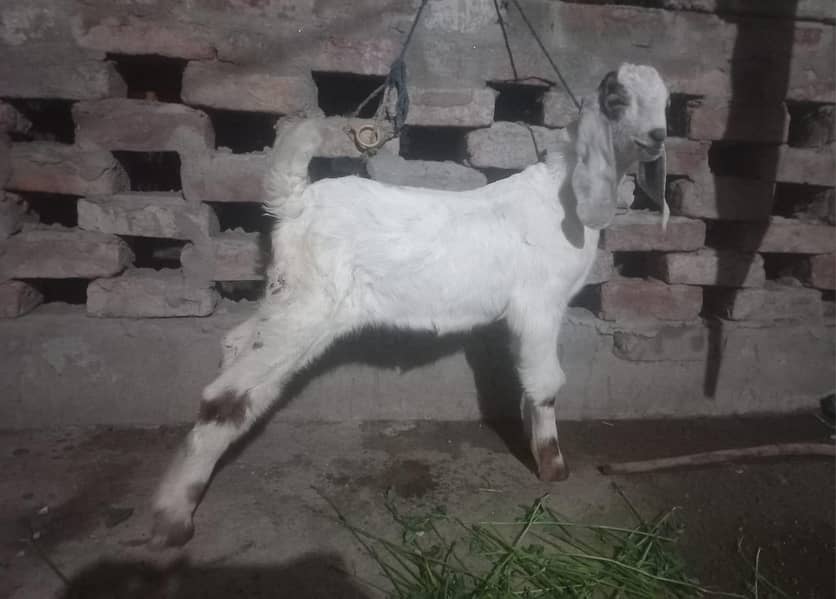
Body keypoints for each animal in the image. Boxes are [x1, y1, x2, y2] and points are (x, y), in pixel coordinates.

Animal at [151, 64, 670, 547]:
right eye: (617, 100)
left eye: (668, 104)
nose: (657, 137)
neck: (562, 196)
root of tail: (294, 202)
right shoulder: (539, 304)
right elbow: (545, 383)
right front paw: (553, 466)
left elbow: (528, 383)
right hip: (309, 306)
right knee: (225, 396)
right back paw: (173, 516)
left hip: (288, 294)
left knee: (237, 344)